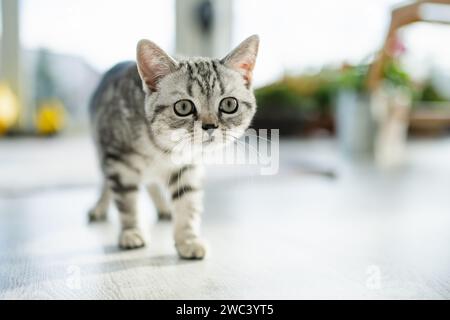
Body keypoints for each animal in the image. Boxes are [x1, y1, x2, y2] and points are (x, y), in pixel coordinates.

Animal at [88, 35, 260, 260]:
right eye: (183, 107)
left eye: (229, 104)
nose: (210, 126)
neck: (161, 147)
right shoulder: (119, 161)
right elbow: (127, 201)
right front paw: (131, 231)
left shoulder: (186, 167)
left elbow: (187, 203)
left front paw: (188, 239)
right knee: (107, 184)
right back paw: (99, 207)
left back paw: (163, 208)